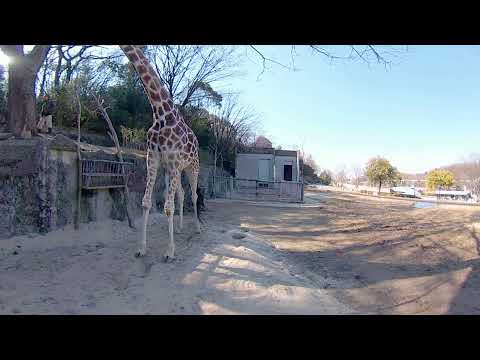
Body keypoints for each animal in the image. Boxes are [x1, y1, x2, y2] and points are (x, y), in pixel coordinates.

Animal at [120, 45, 202, 262]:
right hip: (172, 170)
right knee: (181, 194)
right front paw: (141, 248)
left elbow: (167, 206)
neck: (161, 113)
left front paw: (169, 251)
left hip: (191, 167)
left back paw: (198, 228)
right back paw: (179, 228)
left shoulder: (173, 161)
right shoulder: (154, 159)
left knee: (194, 195)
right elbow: (147, 202)